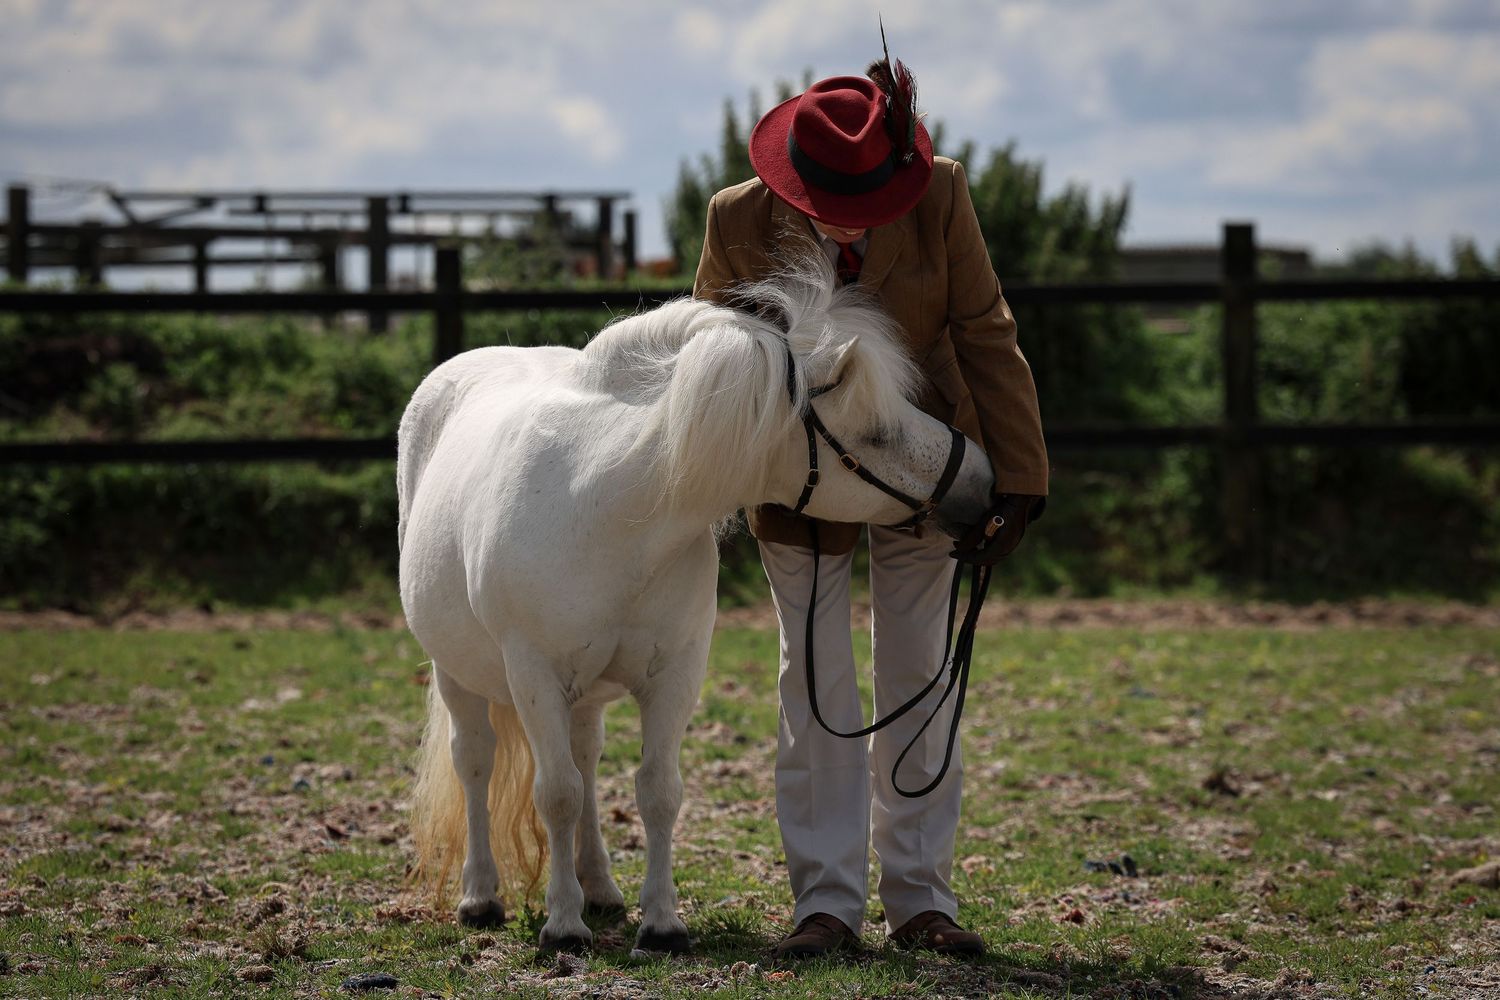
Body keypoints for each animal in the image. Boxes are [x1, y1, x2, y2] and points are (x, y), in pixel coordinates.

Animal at [397, 255, 996, 953]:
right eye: (877, 434)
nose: (984, 483)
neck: (610, 508)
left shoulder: (675, 675)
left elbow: (656, 792)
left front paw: (660, 923)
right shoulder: (535, 676)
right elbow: (556, 795)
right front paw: (563, 925)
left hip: (584, 696)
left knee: (586, 760)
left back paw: (599, 887)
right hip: (458, 674)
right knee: (476, 764)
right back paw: (481, 896)